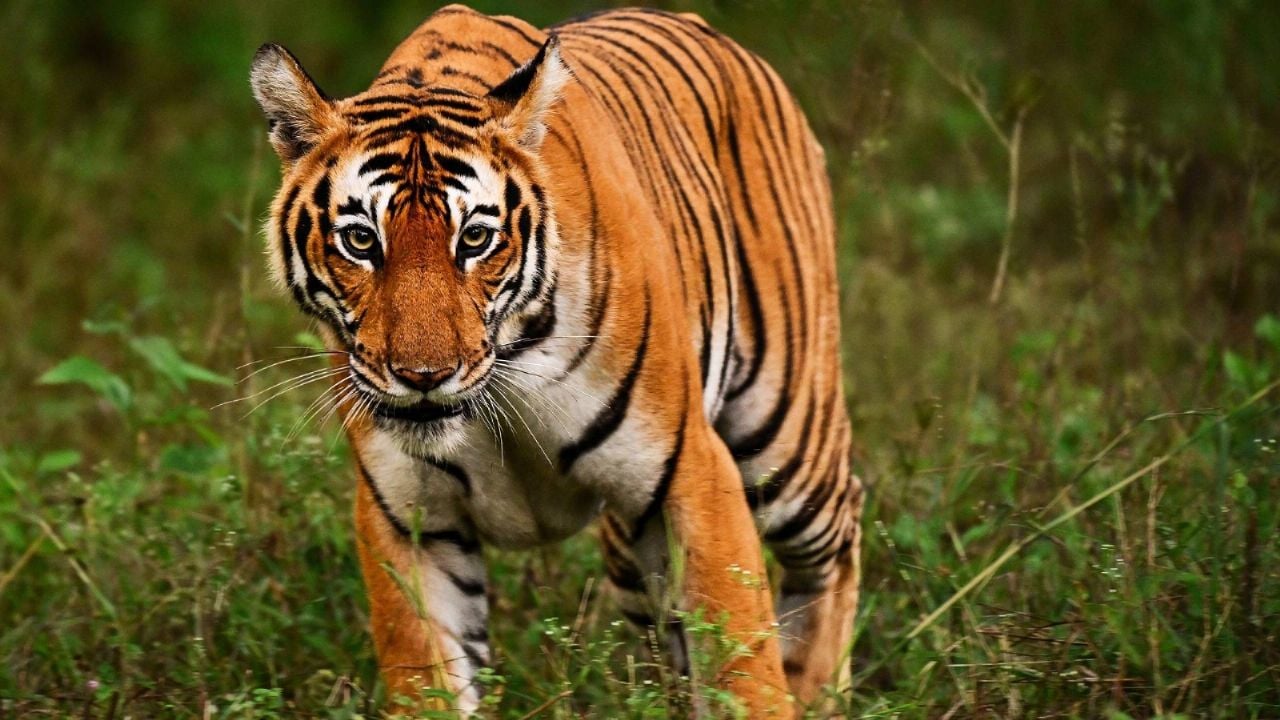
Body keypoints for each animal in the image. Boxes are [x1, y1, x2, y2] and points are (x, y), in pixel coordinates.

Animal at [249, 4, 862, 716]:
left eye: (475, 238)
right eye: (360, 240)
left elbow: (743, 668)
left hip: (787, 436)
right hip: (635, 553)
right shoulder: (407, 515)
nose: (425, 377)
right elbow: (425, 672)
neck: (505, 369)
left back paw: (819, 690)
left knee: (836, 535)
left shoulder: (691, 469)